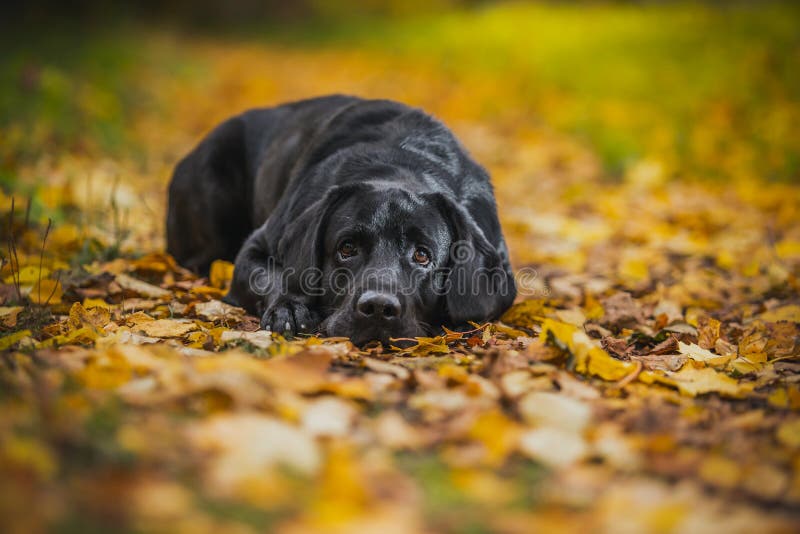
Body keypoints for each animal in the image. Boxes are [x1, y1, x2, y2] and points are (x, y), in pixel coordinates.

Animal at [170, 95, 520, 348]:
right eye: (347, 247)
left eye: (422, 255)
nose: (378, 308)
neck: (400, 166)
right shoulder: (257, 246)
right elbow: (271, 276)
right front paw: (289, 307)